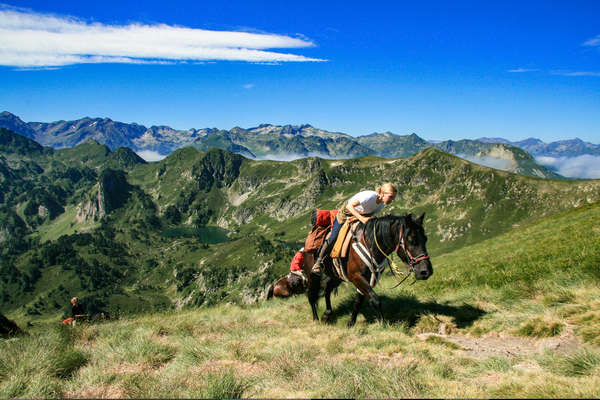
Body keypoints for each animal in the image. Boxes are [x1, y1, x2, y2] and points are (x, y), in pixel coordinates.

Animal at [304, 214, 432, 326]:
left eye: (425, 239)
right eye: (411, 240)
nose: (426, 271)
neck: (370, 244)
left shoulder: (369, 278)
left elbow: (359, 301)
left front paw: (351, 323)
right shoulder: (356, 276)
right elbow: (375, 299)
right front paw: (383, 323)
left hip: (337, 276)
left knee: (327, 290)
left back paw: (327, 314)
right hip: (312, 276)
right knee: (311, 296)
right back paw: (316, 319)